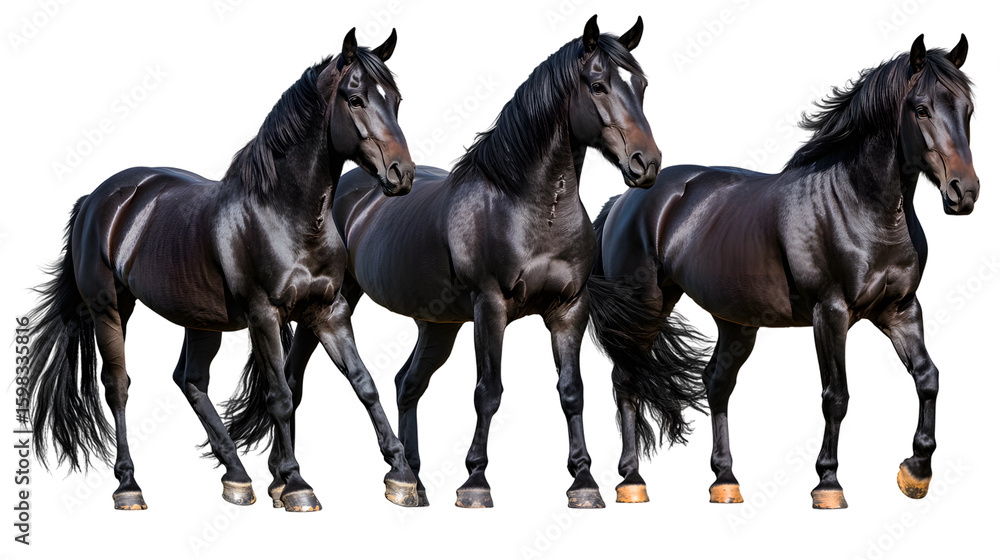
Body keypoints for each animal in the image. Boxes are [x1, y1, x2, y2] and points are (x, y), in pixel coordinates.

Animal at [25, 28, 420, 512]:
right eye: (356, 98)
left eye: (396, 100)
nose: (402, 175)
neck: (285, 214)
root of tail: (98, 199)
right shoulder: (264, 315)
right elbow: (280, 396)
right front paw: (295, 483)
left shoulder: (329, 311)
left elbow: (364, 383)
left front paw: (401, 476)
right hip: (110, 309)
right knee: (117, 385)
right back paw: (129, 486)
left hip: (199, 319)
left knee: (190, 381)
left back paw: (236, 476)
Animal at [205, 14, 660, 509]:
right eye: (597, 85)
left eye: (641, 84)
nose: (647, 164)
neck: (525, 206)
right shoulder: (490, 307)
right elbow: (488, 392)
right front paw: (476, 482)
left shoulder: (568, 310)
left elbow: (572, 392)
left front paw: (584, 482)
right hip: (332, 304)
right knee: (295, 378)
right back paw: (284, 481)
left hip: (437, 325)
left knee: (407, 382)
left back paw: (410, 484)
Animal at [586, 34, 977, 508]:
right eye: (921, 109)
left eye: (967, 109)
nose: (964, 192)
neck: (863, 207)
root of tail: (624, 200)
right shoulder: (830, 314)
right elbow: (836, 396)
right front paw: (828, 483)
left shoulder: (901, 310)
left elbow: (928, 378)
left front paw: (916, 473)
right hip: (645, 308)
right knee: (626, 378)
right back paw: (631, 481)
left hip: (736, 323)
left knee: (715, 382)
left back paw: (725, 481)